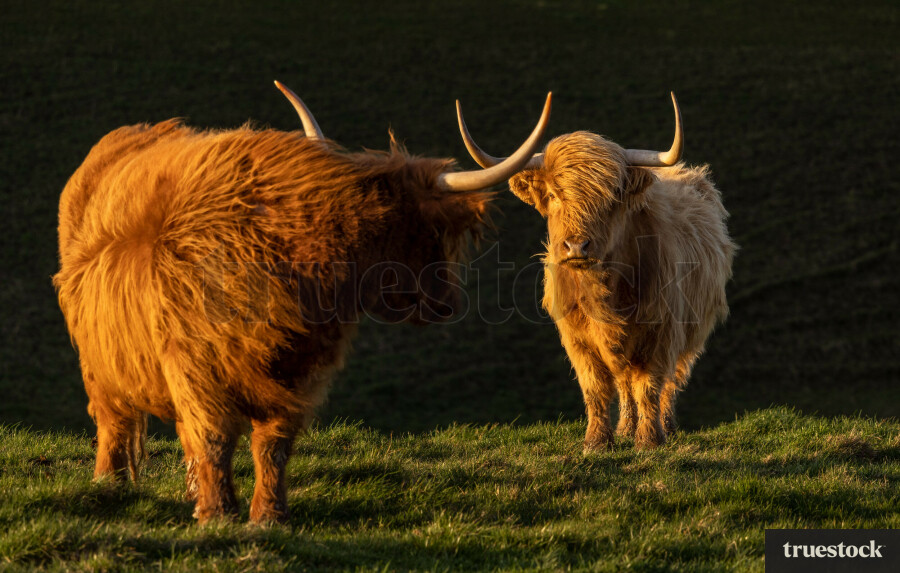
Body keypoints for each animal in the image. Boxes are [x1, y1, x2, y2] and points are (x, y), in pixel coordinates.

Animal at [54, 82, 551, 523]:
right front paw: (217, 515)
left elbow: (273, 445)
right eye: (429, 231)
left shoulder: (300, 372)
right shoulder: (194, 362)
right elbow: (212, 437)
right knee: (112, 419)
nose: (448, 303)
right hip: (97, 357)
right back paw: (109, 484)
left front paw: (269, 516)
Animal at [457, 94, 735, 451]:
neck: (606, 294)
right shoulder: (577, 338)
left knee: (671, 379)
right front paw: (598, 440)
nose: (577, 246)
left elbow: (651, 384)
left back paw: (667, 427)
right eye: (553, 194)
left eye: (611, 197)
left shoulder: (661, 330)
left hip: (693, 330)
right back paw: (625, 428)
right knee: (625, 381)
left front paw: (649, 440)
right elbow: (597, 387)